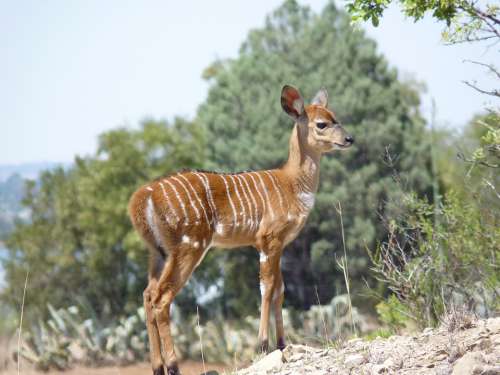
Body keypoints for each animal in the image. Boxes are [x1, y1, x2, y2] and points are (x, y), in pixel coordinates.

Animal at [131, 86, 354, 375]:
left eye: (335, 116)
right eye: (322, 124)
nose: (349, 139)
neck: (292, 184)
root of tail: (142, 198)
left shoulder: (277, 245)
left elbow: (280, 289)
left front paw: (282, 344)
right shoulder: (268, 239)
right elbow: (267, 287)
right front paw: (262, 345)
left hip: (158, 253)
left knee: (148, 295)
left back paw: (157, 367)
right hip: (188, 247)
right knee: (161, 298)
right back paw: (173, 366)